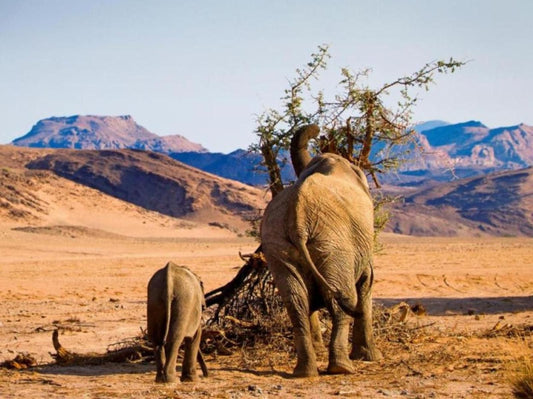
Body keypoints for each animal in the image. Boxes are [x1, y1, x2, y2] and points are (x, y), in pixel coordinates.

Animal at [260, 125, 380, 378]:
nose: (318, 132)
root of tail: (298, 220)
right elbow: (367, 281)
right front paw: (371, 358)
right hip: (334, 245)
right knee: (341, 299)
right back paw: (342, 368)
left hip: (278, 246)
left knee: (296, 303)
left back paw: (305, 372)